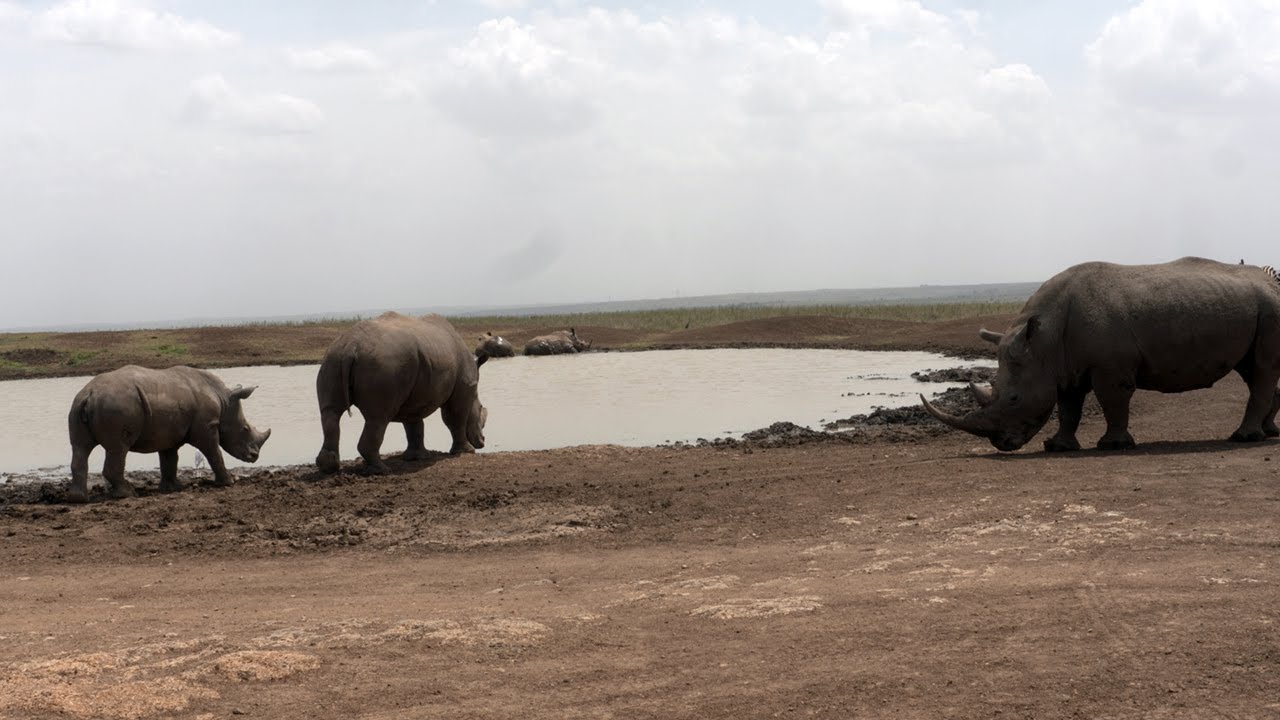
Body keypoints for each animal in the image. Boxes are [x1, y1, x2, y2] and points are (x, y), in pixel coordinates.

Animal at [66, 366, 272, 503]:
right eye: (245, 429)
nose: (254, 456)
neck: (224, 401)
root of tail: (90, 394)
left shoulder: (169, 431)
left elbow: (169, 459)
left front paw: (172, 488)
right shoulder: (206, 427)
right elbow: (214, 453)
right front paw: (229, 482)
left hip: (77, 405)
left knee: (80, 447)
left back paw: (78, 499)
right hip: (117, 406)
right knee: (118, 448)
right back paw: (128, 494)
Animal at [315, 312, 487, 474]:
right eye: (481, 409)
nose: (482, 441)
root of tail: (352, 346)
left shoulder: (416, 392)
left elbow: (414, 424)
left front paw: (417, 457)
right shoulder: (464, 387)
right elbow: (455, 418)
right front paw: (467, 451)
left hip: (333, 358)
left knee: (331, 411)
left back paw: (329, 468)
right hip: (384, 365)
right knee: (378, 418)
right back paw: (381, 471)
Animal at [922, 257, 1280, 452]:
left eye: (1013, 398)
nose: (1001, 443)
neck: (1043, 340)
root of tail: (1273, 283)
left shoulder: (1111, 368)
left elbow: (1112, 402)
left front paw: (1113, 445)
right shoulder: (1063, 367)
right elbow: (1068, 407)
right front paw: (1057, 447)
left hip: (1270, 310)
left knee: (1262, 369)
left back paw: (1244, 438)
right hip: (1255, 310)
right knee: (1252, 371)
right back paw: (1268, 433)